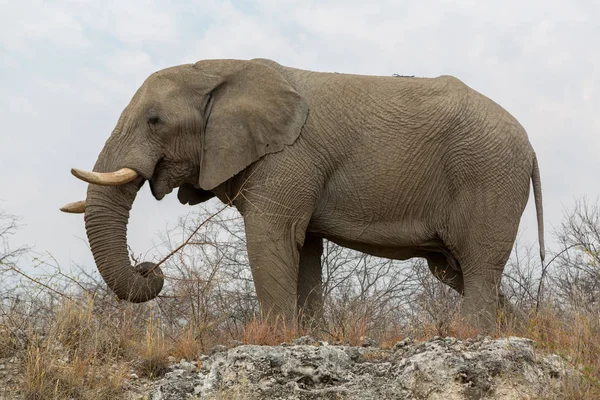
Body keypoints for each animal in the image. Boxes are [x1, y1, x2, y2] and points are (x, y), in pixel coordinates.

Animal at [62, 57, 544, 332]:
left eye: (155, 121)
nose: (148, 269)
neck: (222, 70)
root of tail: (530, 146)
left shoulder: (289, 158)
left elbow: (270, 238)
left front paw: (276, 341)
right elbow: (305, 250)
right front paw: (310, 339)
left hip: (488, 174)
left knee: (478, 265)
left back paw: (477, 339)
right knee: (455, 270)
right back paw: (522, 332)